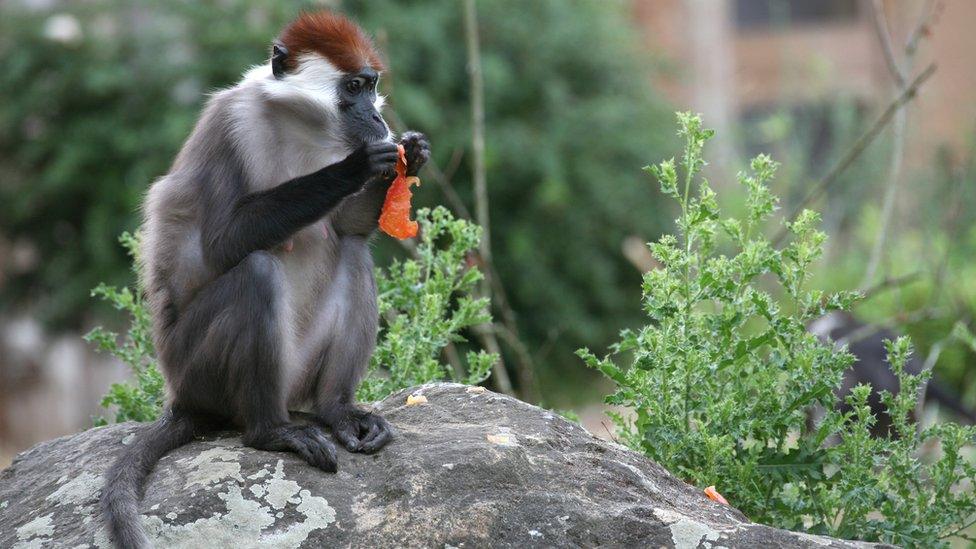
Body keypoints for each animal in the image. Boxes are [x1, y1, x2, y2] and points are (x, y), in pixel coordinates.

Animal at [100, 12, 430, 548]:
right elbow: (220, 243)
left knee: (353, 253)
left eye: (371, 86)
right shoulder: (228, 121)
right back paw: (270, 431)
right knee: (255, 272)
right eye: (353, 88)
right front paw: (358, 166)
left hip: (299, 373)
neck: (299, 125)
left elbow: (349, 230)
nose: (378, 119)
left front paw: (413, 154)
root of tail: (180, 397)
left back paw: (338, 411)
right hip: (199, 369)